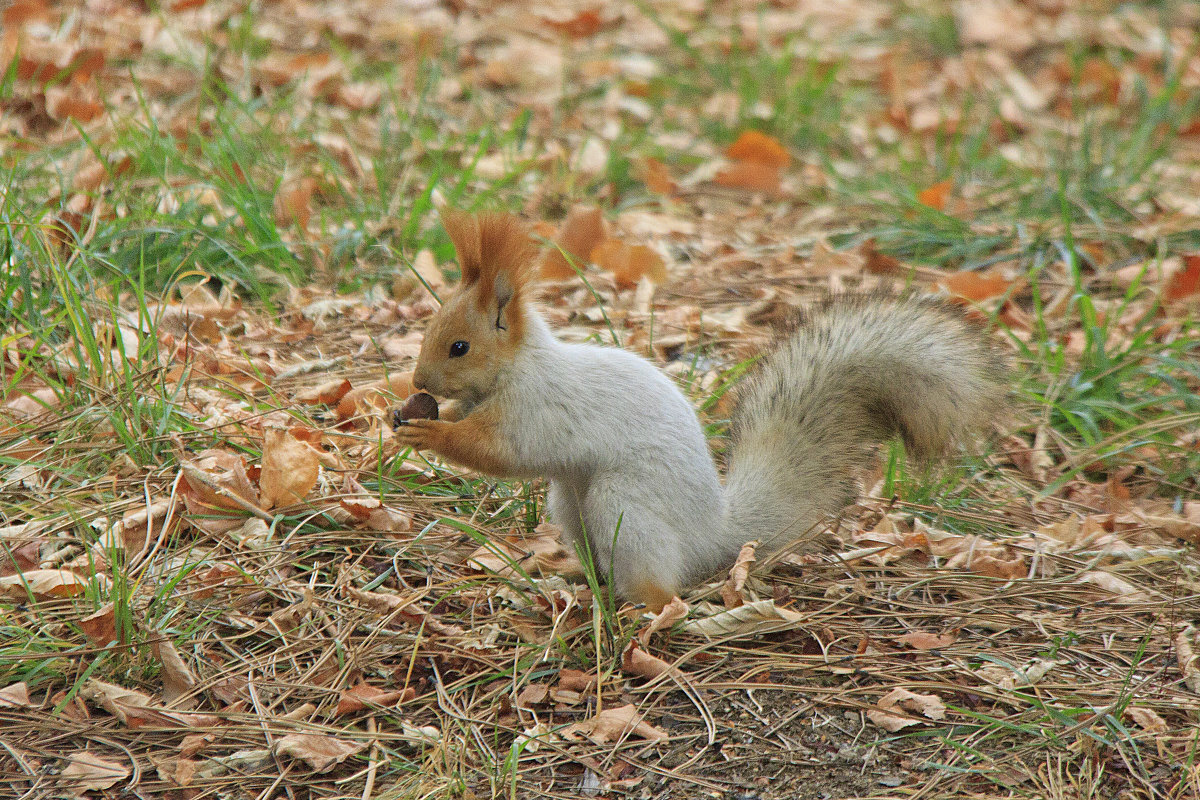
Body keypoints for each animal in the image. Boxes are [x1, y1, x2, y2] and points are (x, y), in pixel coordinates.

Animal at [393, 209, 1003, 609]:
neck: (516, 368)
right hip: (571, 505)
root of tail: (711, 533)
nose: (419, 381)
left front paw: (428, 434)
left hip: (626, 507)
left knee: (663, 587)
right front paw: (407, 415)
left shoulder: (535, 408)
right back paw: (575, 583)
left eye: (459, 346)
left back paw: (643, 610)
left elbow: (499, 451)